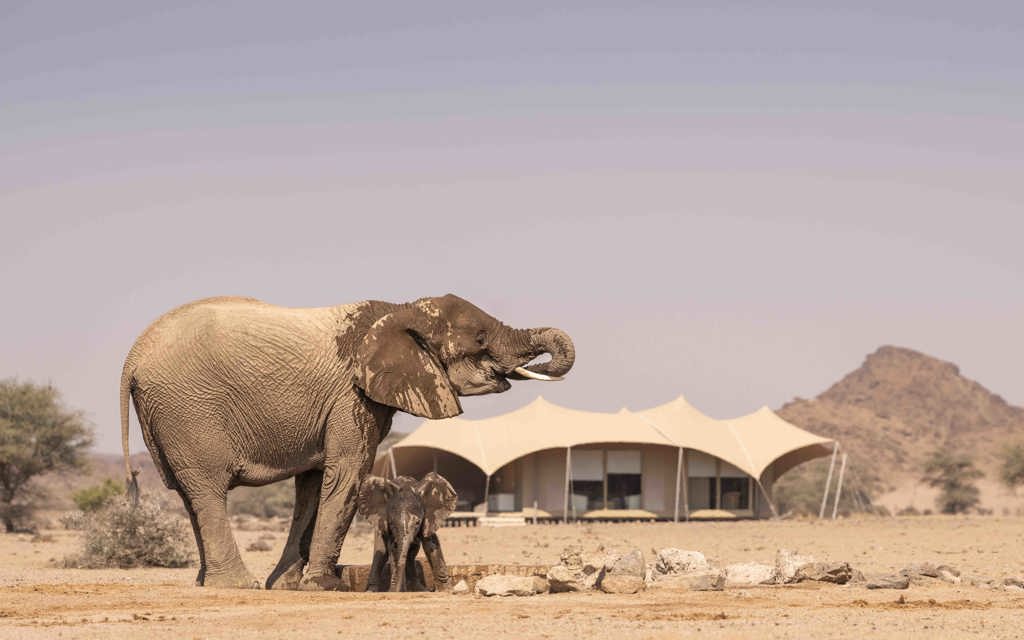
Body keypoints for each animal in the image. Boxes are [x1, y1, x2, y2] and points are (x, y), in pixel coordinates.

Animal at [119, 294, 574, 590]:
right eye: (479, 338)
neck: (400, 311)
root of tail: (132, 358)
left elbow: (313, 483)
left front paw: (288, 584)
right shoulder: (350, 397)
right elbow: (347, 472)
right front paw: (324, 585)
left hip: (167, 417)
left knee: (187, 494)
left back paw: (207, 581)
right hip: (189, 410)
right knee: (208, 489)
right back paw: (236, 585)